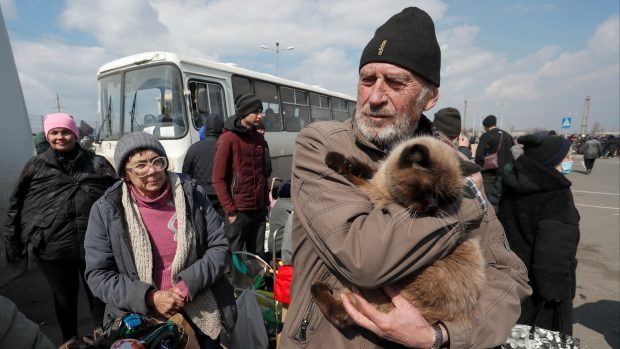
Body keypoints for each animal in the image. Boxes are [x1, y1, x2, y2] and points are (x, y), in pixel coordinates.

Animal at [312, 135, 486, 326]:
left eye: (444, 200)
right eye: (427, 193)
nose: (433, 207)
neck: (386, 186)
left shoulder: (380, 199)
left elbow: (358, 180)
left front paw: (343, 168)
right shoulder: (378, 176)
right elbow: (368, 168)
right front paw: (341, 160)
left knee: (343, 314)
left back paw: (317, 287)